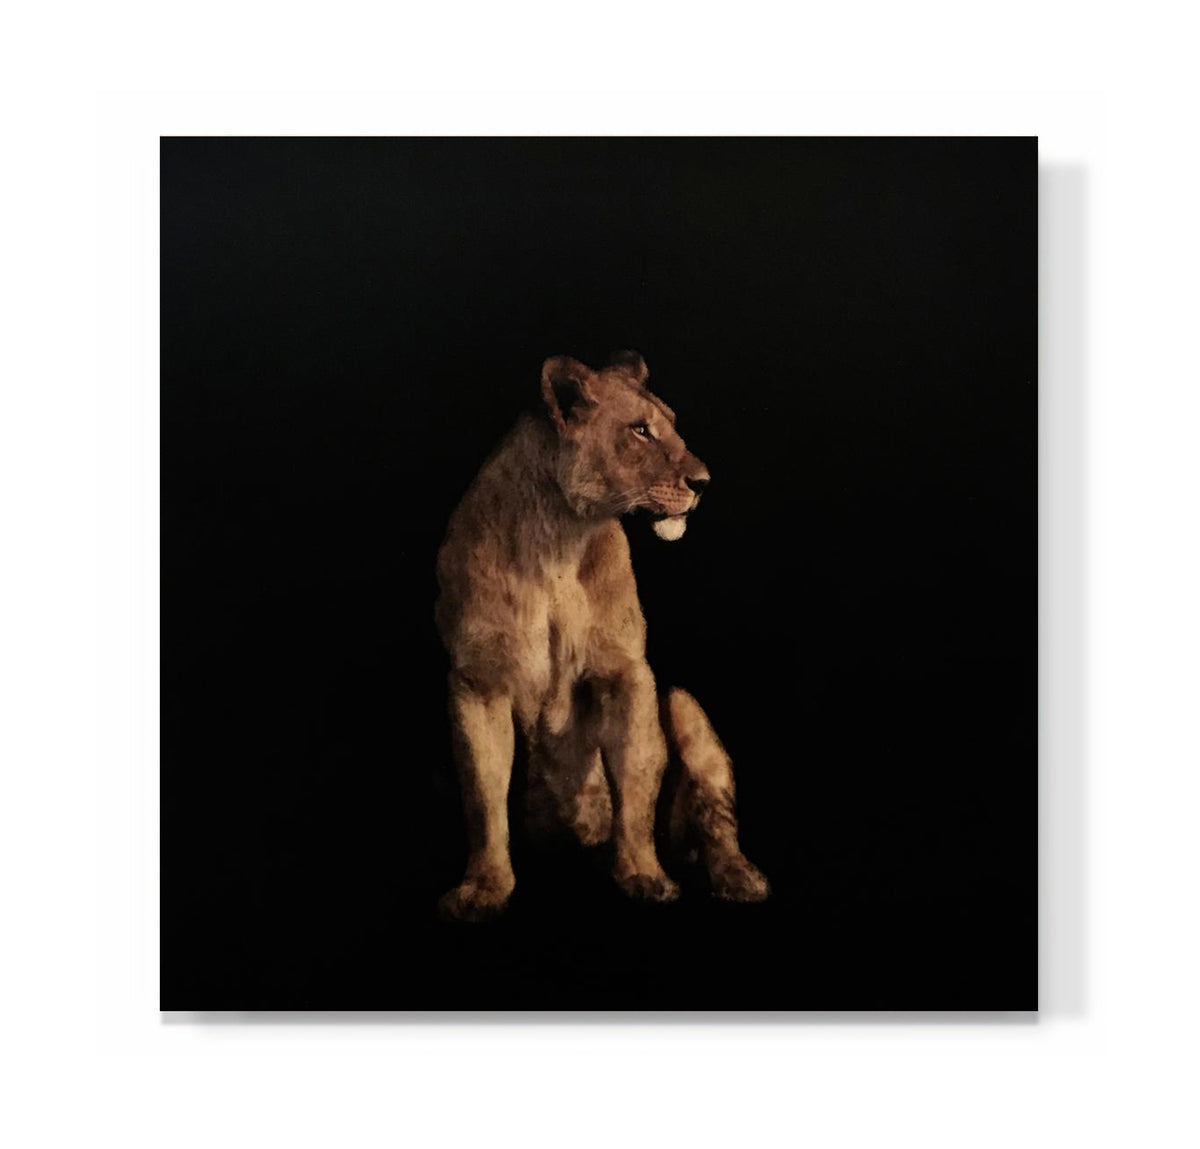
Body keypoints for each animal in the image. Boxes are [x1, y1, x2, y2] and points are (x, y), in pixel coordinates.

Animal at [434, 351, 769, 921]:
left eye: (671, 425)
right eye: (640, 430)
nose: (703, 482)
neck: (557, 541)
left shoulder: (627, 672)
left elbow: (635, 782)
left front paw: (644, 876)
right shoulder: (478, 682)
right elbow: (484, 795)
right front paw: (483, 889)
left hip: (682, 701)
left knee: (717, 817)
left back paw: (741, 880)